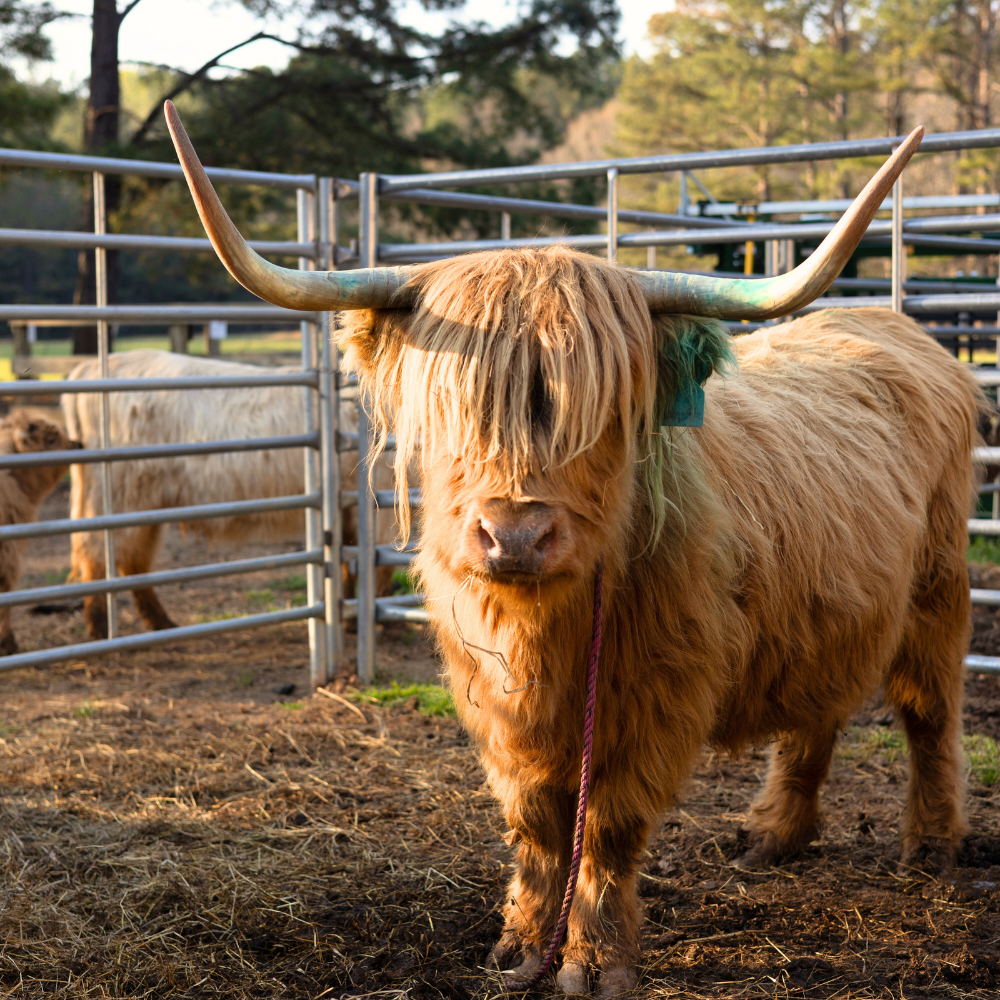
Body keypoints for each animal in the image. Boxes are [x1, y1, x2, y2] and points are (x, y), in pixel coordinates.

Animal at [166, 104, 975, 996]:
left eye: (599, 413)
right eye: (454, 408)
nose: (515, 534)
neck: (542, 630)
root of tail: (892, 326)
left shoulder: (658, 694)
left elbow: (610, 826)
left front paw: (594, 958)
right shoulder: (490, 697)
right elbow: (537, 822)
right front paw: (519, 946)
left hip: (939, 589)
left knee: (928, 711)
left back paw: (931, 846)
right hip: (829, 601)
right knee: (816, 707)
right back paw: (772, 834)